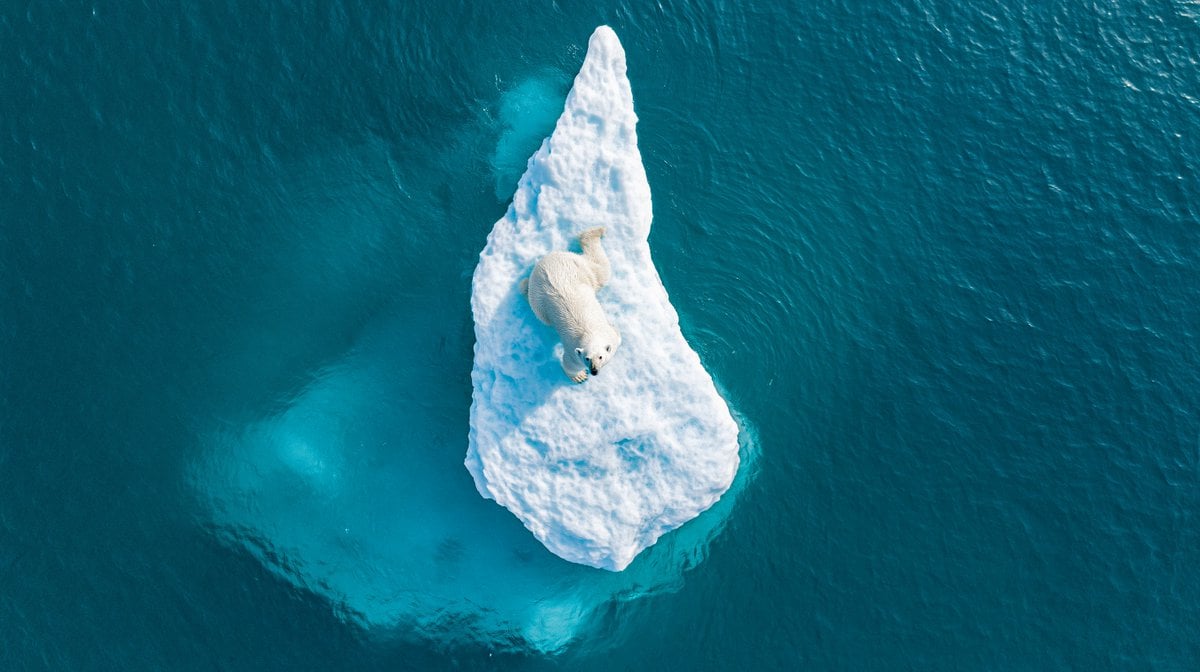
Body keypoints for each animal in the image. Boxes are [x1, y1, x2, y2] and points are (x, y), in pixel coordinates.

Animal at [519, 226, 622, 383]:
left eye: (600, 356)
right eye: (587, 358)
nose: (594, 371)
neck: (590, 334)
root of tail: (548, 259)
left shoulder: (609, 336)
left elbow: (616, 336)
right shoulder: (573, 351)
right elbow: (569, 364)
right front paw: (580, 376)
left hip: (580, 268)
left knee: (601, 270)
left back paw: (596, 231)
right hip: (539, 300)